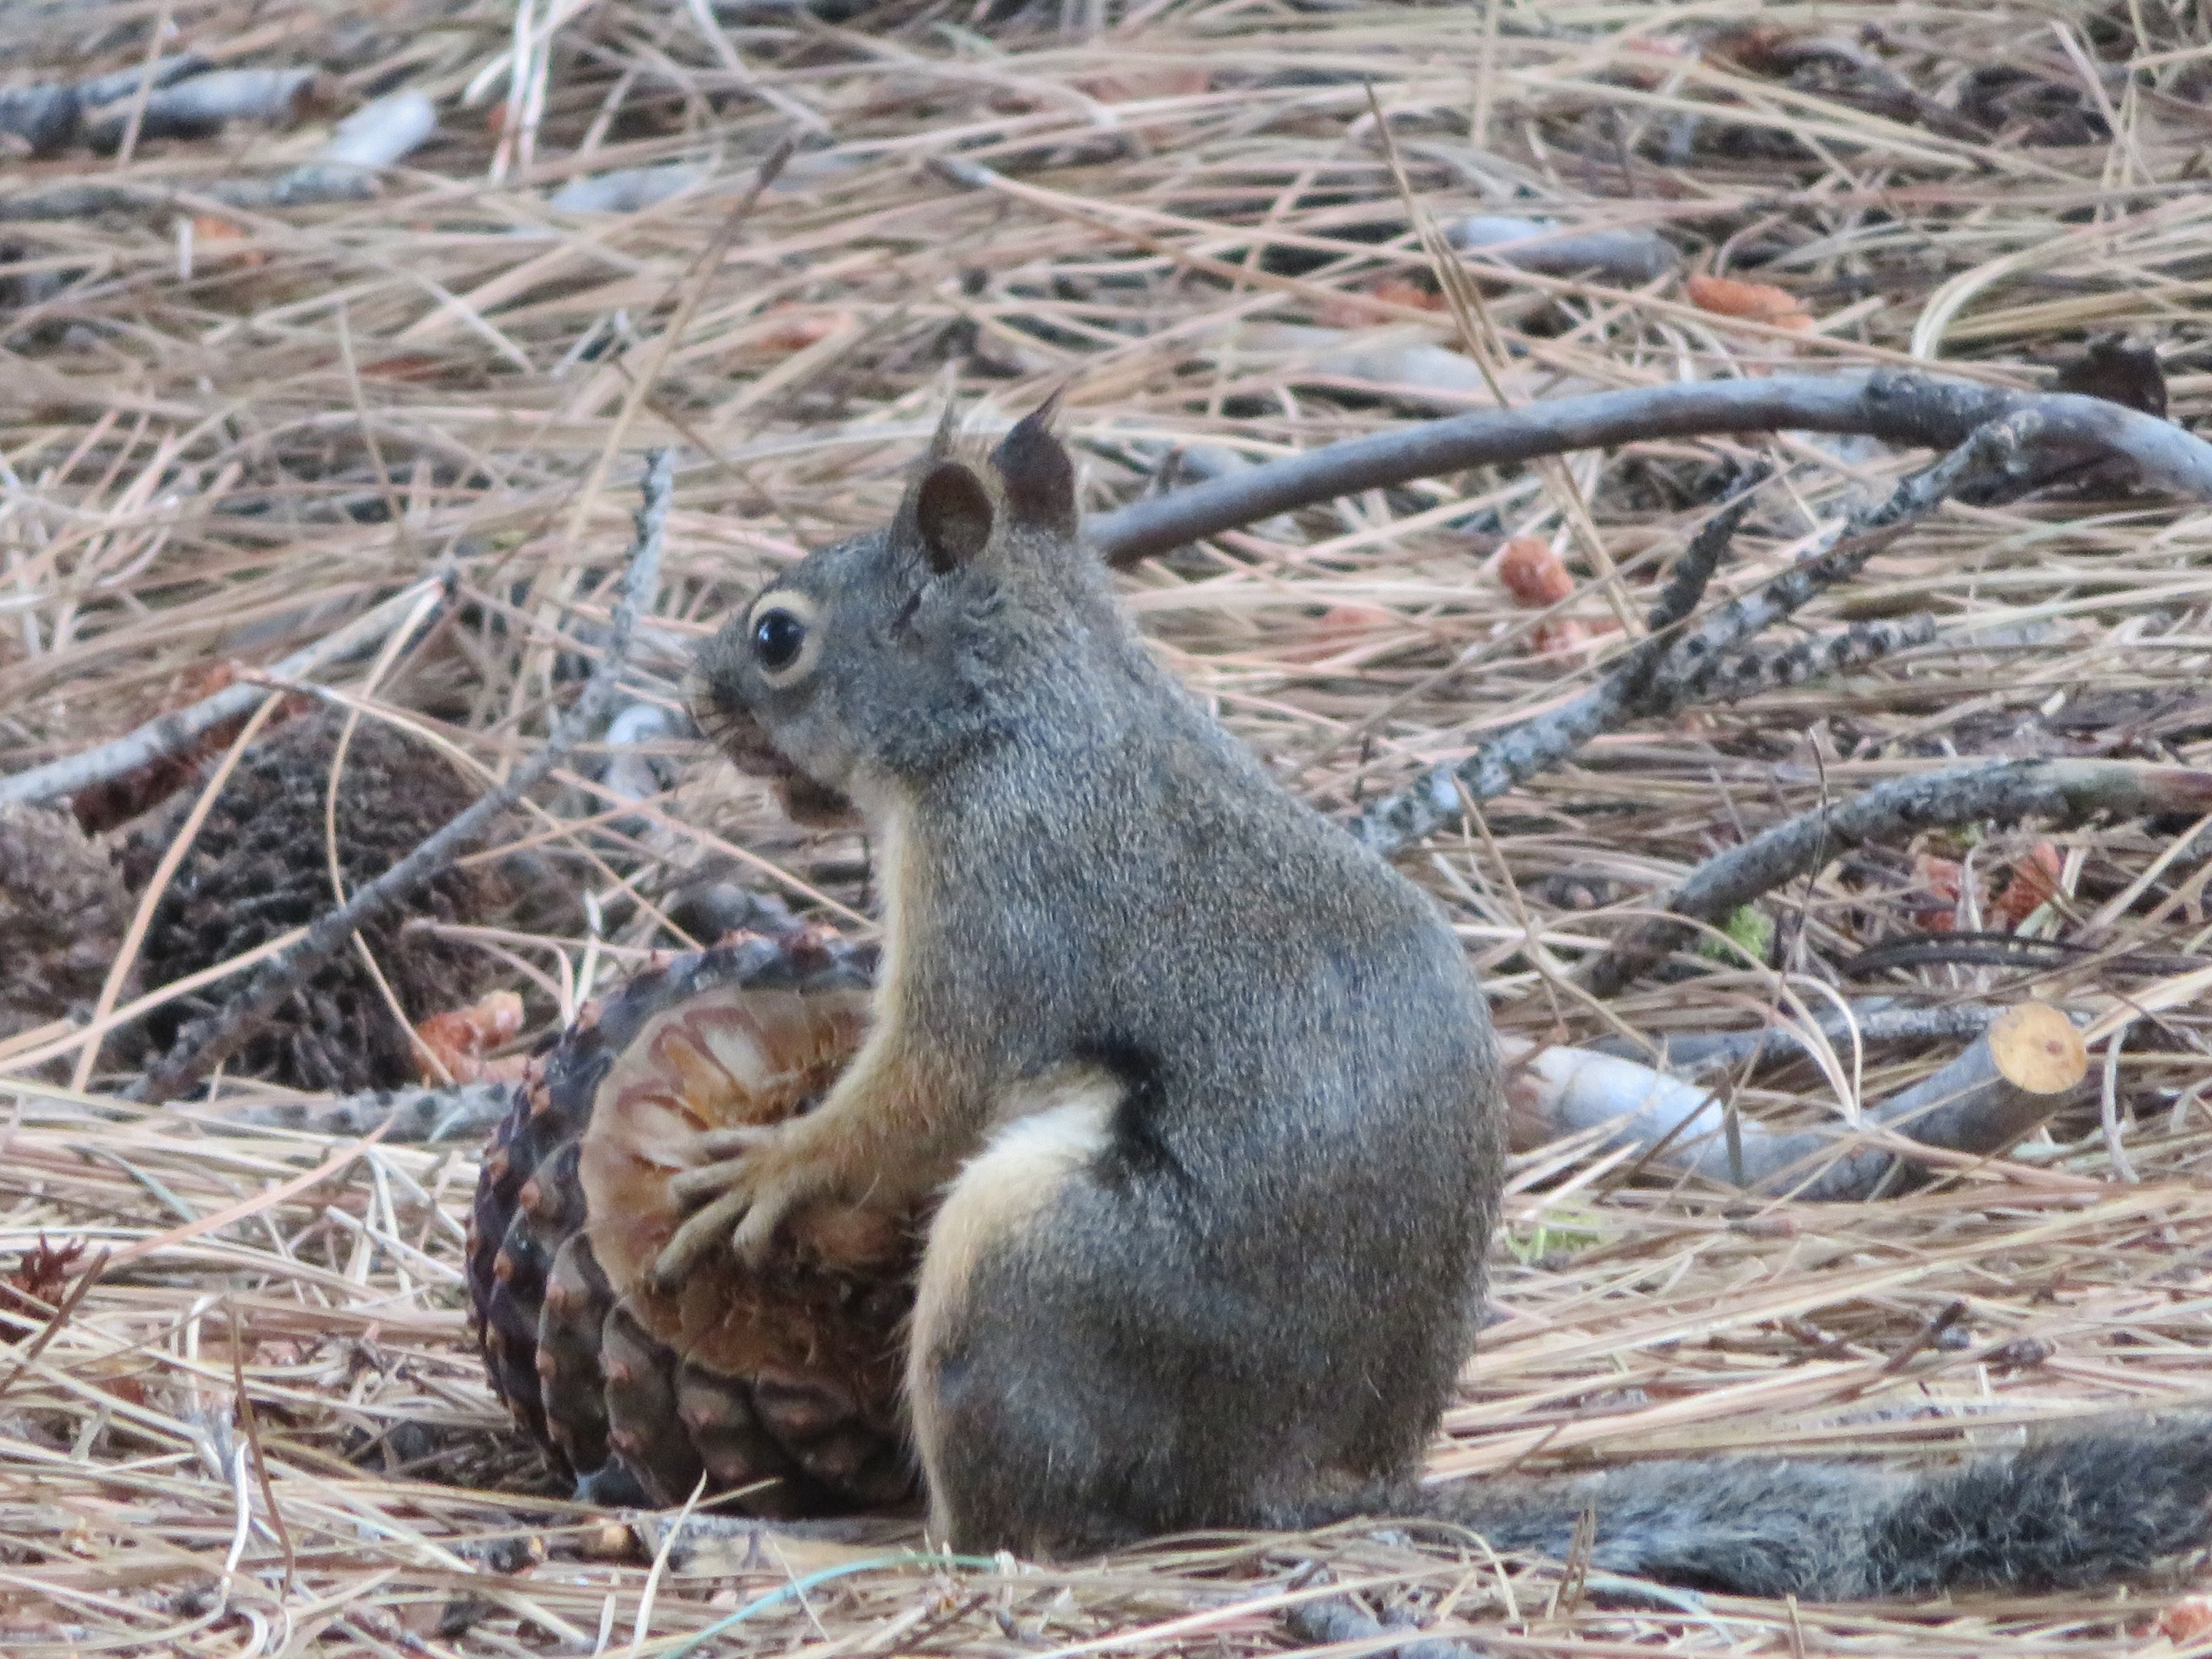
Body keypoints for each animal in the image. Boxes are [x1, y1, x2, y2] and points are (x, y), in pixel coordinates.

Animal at [666, 399, 2212, 1597]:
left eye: (779, 634)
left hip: (1034, 1273)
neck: (1026, 716)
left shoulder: (1005, 907)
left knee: (1023, 1531)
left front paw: (768, 1166)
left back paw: (830, 1545)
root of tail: (1304, 1489)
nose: (694, 695)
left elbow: (922, 1088)